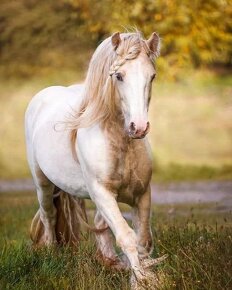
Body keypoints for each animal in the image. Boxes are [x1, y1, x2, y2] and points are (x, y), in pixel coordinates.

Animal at [25, 31, 164, 286]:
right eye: (119, 76)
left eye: (152, 76)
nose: (138, 127)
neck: (120, 141)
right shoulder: (102, 193)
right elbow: (126, 237)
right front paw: (141, 281)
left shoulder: (141, 195)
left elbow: (142, 240)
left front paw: (141, 278)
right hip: (43, 183)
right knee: (49, 215)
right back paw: (52, 254)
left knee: (99, 224)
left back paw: (110, 262)